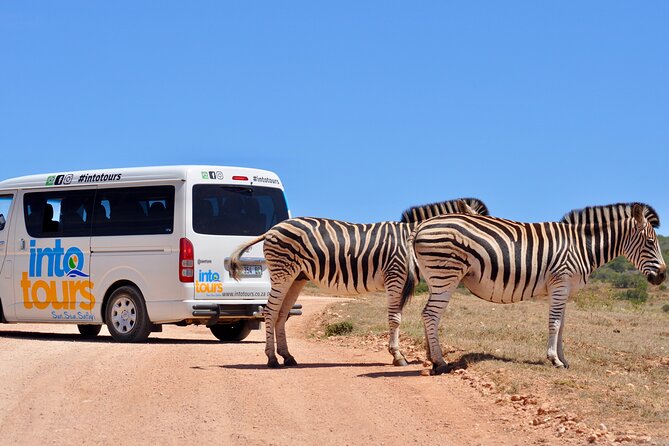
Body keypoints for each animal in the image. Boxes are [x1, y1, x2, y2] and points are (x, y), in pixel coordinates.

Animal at [228, 199, 486, 370]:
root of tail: (272, 229)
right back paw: (272, 359)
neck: (412, 238)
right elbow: (395, 318)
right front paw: (398, 356)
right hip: (282, 272)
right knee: (270, 312)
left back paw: (288, 357)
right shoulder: (396, 274)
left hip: (297, 278)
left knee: (281, 314)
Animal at [400, 201, 664, 372]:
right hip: (446, 274)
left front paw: (564, 360)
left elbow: (563, 325)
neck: (581, 246)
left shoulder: (565, 289)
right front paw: (554, 360)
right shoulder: (560, 282)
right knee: (430, 314)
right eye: (650, 243)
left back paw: (430, 356)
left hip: (435, 277)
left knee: (429, 315)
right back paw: (440, 362)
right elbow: (555, 323)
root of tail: (421, 226)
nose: (662, 276)